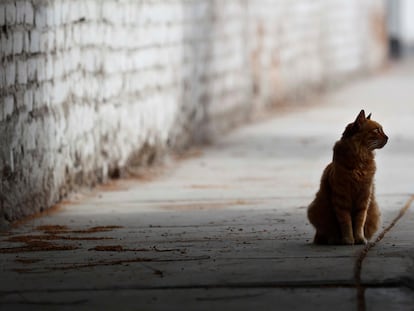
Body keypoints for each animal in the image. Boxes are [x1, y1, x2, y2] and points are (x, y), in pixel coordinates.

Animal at [308, 111, 388, 245]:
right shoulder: (341, 199)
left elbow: (359, 222)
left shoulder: (364, 198)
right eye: (377, 130)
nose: (387, 137)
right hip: (317, 209)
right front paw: (348, 240)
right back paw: (334, 240)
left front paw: (359, 239)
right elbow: (346, 223)